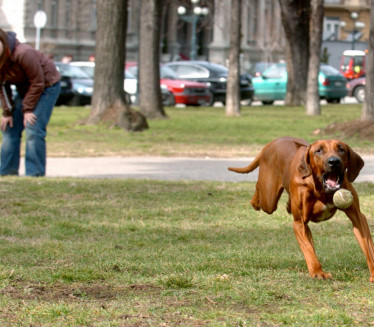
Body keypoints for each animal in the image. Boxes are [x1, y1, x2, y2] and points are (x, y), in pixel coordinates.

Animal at [228, 136, 374, 282]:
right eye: (318, 150)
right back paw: (255, 201)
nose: (334, 162)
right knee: (259, 192)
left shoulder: (358, 217)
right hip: (268, 198)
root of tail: (272, 143)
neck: (321, 188)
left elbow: (368, 247)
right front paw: (318, 272)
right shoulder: (299, 223)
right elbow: (308, 249)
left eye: (341, 149)